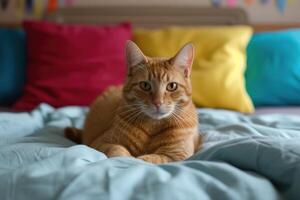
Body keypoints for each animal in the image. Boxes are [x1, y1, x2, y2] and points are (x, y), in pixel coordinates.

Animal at [65, 40, 202, 164]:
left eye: (172, 86)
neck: (153, 126)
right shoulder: (101, 142)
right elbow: (118, 150)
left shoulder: (177, 154)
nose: (158, 102)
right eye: (145, 85)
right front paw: (127, 159)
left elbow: (154, 158)